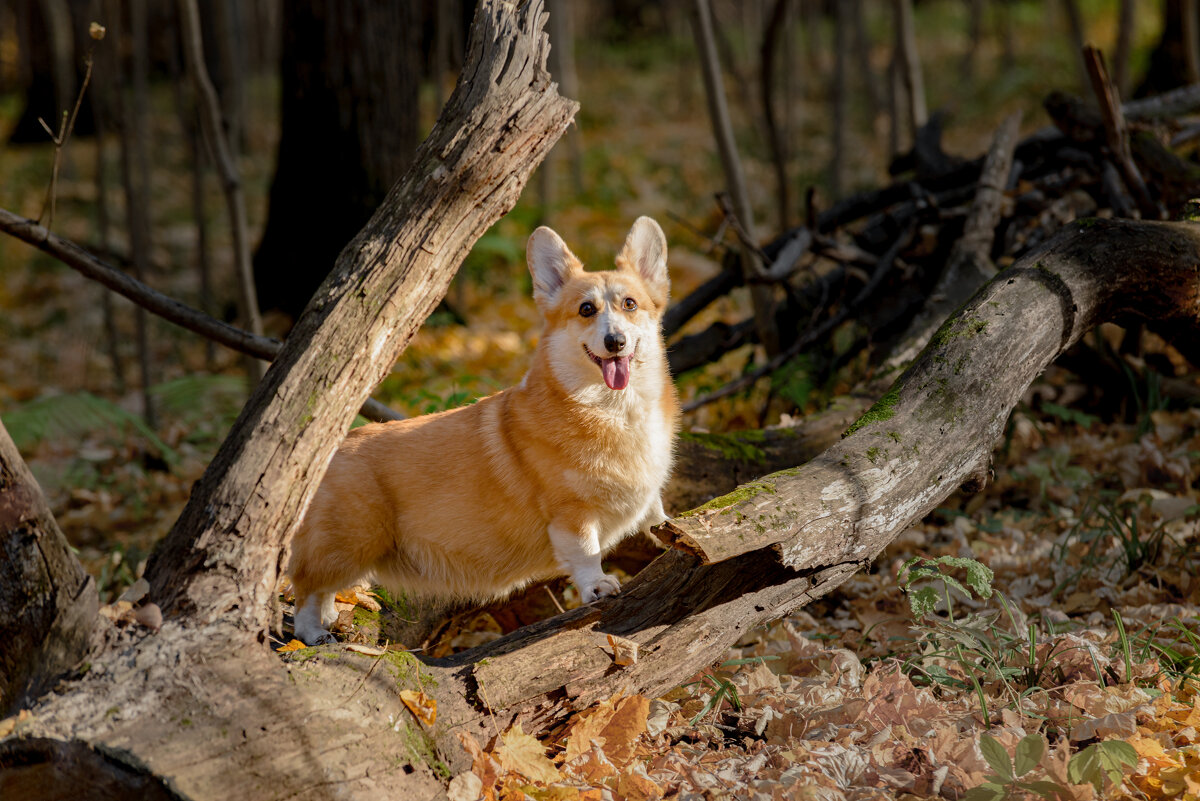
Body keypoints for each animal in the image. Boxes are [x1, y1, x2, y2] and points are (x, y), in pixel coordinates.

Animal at [288, 217, 676, 642]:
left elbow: (657, 519)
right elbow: (585, 553)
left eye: (630, 304)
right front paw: (597, 586)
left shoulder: (647, 495)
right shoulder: (571, 514)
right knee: (306, 592)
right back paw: (314, 633)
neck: (615, 411)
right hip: (349, 544)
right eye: (586, 309)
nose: (615, 341)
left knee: (322, 591)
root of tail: (324, 453)